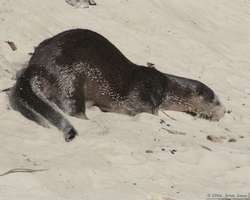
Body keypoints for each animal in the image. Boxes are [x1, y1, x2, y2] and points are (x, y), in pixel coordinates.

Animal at [9, 28, 225, 141]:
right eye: (216, 101)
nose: (224, 112)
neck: (165, 88)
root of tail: (37, 66)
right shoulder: (144, 97)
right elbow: (141, 110)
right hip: (70, 77)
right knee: (72, 108)